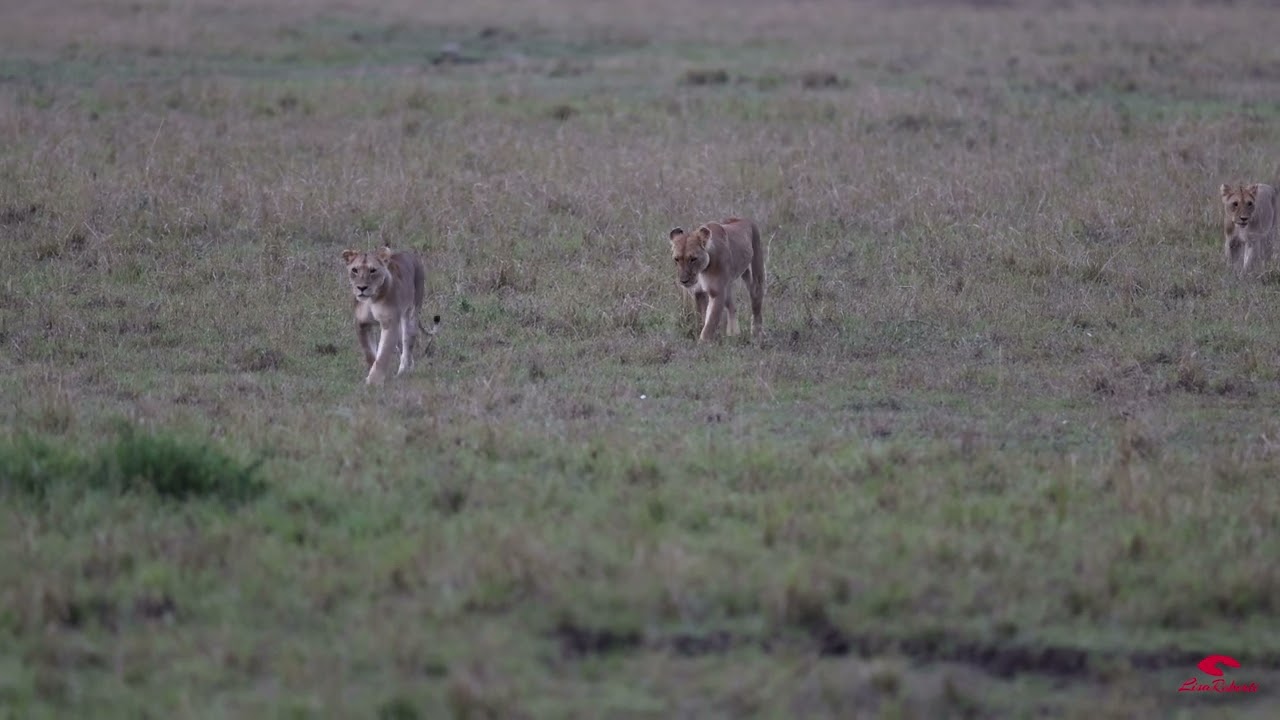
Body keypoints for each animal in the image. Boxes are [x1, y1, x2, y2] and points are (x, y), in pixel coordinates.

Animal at [341, 245, 440, 385]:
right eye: (354, 270)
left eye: (373, 270)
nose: (361, 288)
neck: (371, 299)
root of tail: (408, 253)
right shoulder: (362, 324)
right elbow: (370, 353)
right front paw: (375, 375)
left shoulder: (389, 323)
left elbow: (383, 354)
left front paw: (373, 383)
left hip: (411, 315)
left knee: (407, 345)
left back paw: (404, 371)